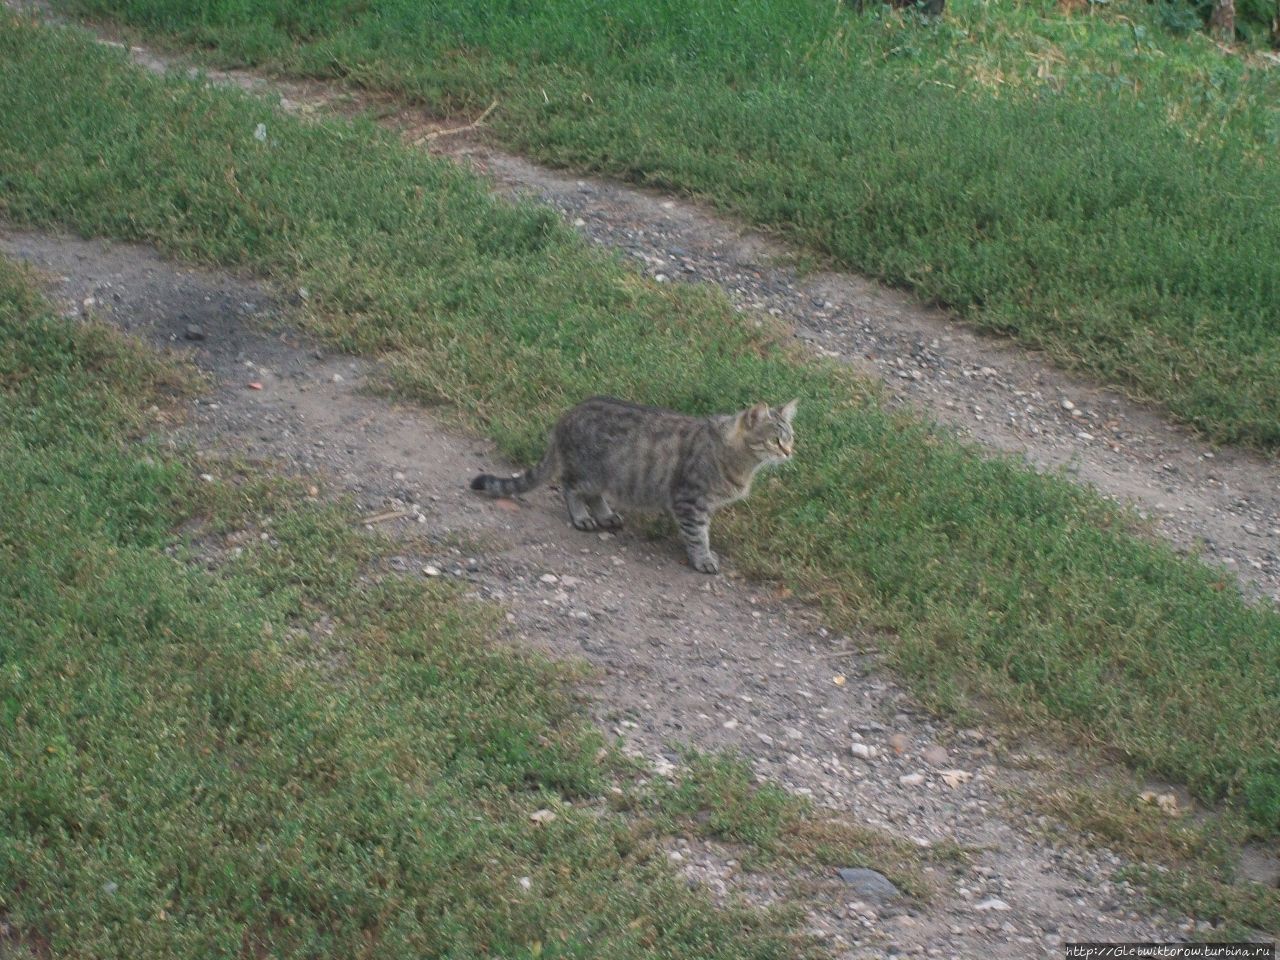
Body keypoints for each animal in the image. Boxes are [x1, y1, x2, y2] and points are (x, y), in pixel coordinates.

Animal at [471, 396, 793, 576]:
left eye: (790, 438)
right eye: (775, 440)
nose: (790, 452)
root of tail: (565, 417)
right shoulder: (690, 501)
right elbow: (698, 535)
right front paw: (703, 559)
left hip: (607, 476)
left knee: (594, 495)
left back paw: (606, 515)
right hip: (589, 472)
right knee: (570, 487)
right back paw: (582, 517)